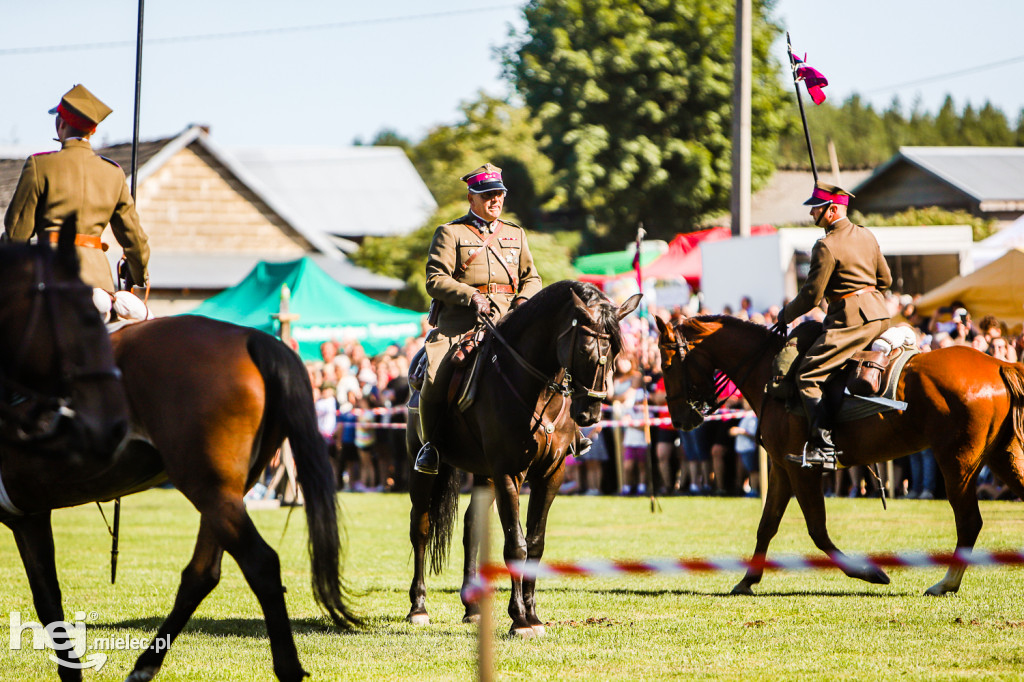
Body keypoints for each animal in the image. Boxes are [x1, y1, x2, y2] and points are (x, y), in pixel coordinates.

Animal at [403, 278, 634, 634]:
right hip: (424, 470)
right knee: (421, 528)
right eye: (585, 349)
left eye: (616, 353)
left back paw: (472, 608)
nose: (591, 413)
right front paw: (520, 619)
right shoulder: (508, 474)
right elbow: (516, 544)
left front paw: (533, 615)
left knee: (471, 527)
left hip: (483, 474)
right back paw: (418, 607)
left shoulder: (550, 475)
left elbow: (535, 544)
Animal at [655, 313, 1024, 593]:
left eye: (667, 365)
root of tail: (997, 363)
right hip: (1001, 456)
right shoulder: (780, 468)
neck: (770, 373)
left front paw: (868, 572)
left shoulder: (801, 470)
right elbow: (767, 525)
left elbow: (817, 530)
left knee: (969, 521)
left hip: (957, 463)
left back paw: (946, 582)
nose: (680, 420)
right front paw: (748, 579)